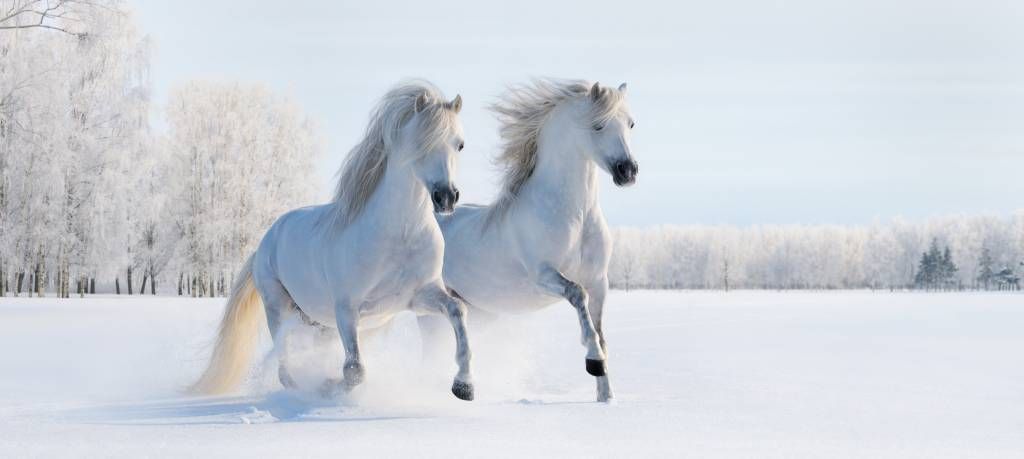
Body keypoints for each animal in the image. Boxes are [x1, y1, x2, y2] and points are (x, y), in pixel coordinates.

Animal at [191, 81, 476, 401]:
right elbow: (355, 370)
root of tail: (265, 242)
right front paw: (329, 387)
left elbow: (458, 310)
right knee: (283, 365)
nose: (446, 197)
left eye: (460, 144)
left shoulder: (418, 297)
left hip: (317, 322)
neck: (399, 235)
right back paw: (301, 389)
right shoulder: (347, 309)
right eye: (421, 142)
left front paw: (464, 386)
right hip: (278, 308)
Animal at [424, 79, 638, 402]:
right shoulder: (544, 276)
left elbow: (601, 333)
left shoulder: (599, 281)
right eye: (598, 125)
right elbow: (578, 297)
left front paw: (605, 396)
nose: (628, 171)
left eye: (631, 124)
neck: (576, 217)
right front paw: (593, 362)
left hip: (478, 310)